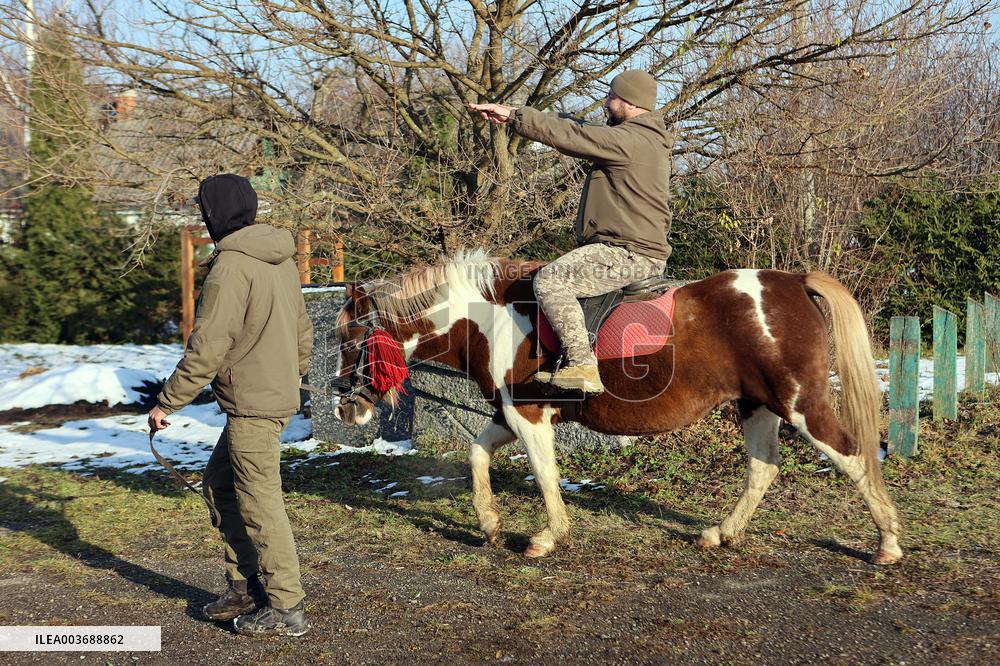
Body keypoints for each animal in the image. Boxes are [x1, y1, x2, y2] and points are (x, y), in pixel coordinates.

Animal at [331, 250, 903, 565]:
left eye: (351, 338)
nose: (344, 409)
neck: (492, 319)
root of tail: (793, 281)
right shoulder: (508, 415)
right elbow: (477, 455)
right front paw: (490, 524)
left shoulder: (528, 417)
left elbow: (545, 475)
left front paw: (548, 537)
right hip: (756, 405)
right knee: (763, 469)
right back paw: (721, 534)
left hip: (801, 404)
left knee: (853, 455)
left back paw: (888, 544)